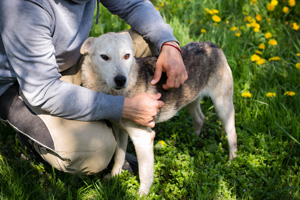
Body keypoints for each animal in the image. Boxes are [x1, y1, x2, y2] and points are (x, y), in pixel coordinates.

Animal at [79, 32, 237, 195]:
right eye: (104, 57)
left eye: (127, 56)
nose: (121, 80)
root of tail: (211, 44)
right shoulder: (119, 130)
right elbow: (119, 156)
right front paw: (114, 176)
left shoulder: (143, 137)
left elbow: (145, 173)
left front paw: (141, 195)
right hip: (189, 98)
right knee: (200, 118)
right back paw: (193, 139)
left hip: (222, 105)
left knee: (232, 133)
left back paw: (232, 160)